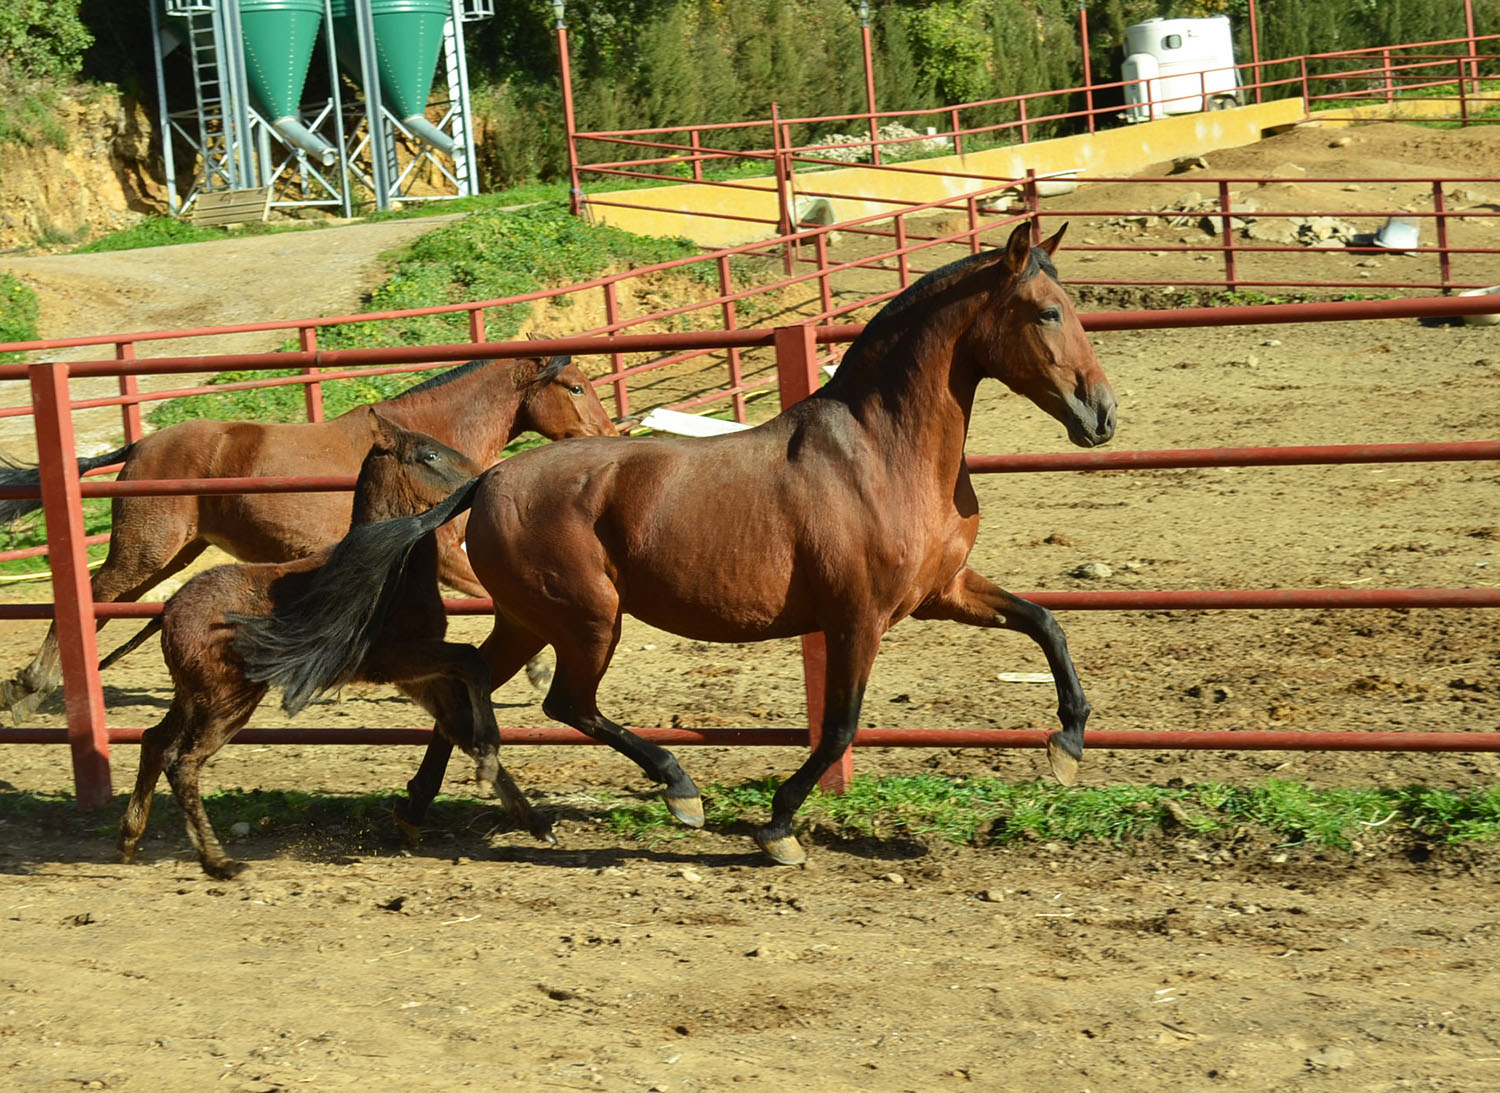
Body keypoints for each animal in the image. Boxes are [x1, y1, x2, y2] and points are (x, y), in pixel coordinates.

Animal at [0, 353, 615, 719]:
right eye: (575, 386)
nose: (611, 433)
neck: (420, 445)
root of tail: (143, 445)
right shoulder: (442, 555)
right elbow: (492, 596)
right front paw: (537, 668)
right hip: (145, 551)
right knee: (92, 598)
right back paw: (34, 687)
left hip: (174, 554)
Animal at [115, 407, 552, 875]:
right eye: (430, 454)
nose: (484, 479)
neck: (390, 566)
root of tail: (169, 610)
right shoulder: (397, 659)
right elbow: (473, 664)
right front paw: (489, 763)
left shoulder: (418, 677)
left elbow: (459, 728)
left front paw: (534, 822)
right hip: (226, 701)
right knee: (182, 763)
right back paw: (219, 862)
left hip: (192, 696)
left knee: (154, 741)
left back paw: (129, 839)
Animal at [237, 221, 1116, 863]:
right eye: (1046, 312)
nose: (1101, 415)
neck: (880, 451)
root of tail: (486, 482)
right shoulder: (856, 618)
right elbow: (839, 726)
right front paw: (776, 829)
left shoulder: (942, 592)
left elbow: (1048, 623)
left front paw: (1067, 744)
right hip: (589, 618)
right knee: (566, 703)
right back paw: (678, 788)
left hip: (527, 620)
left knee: (468, 685)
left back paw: (424, 812)